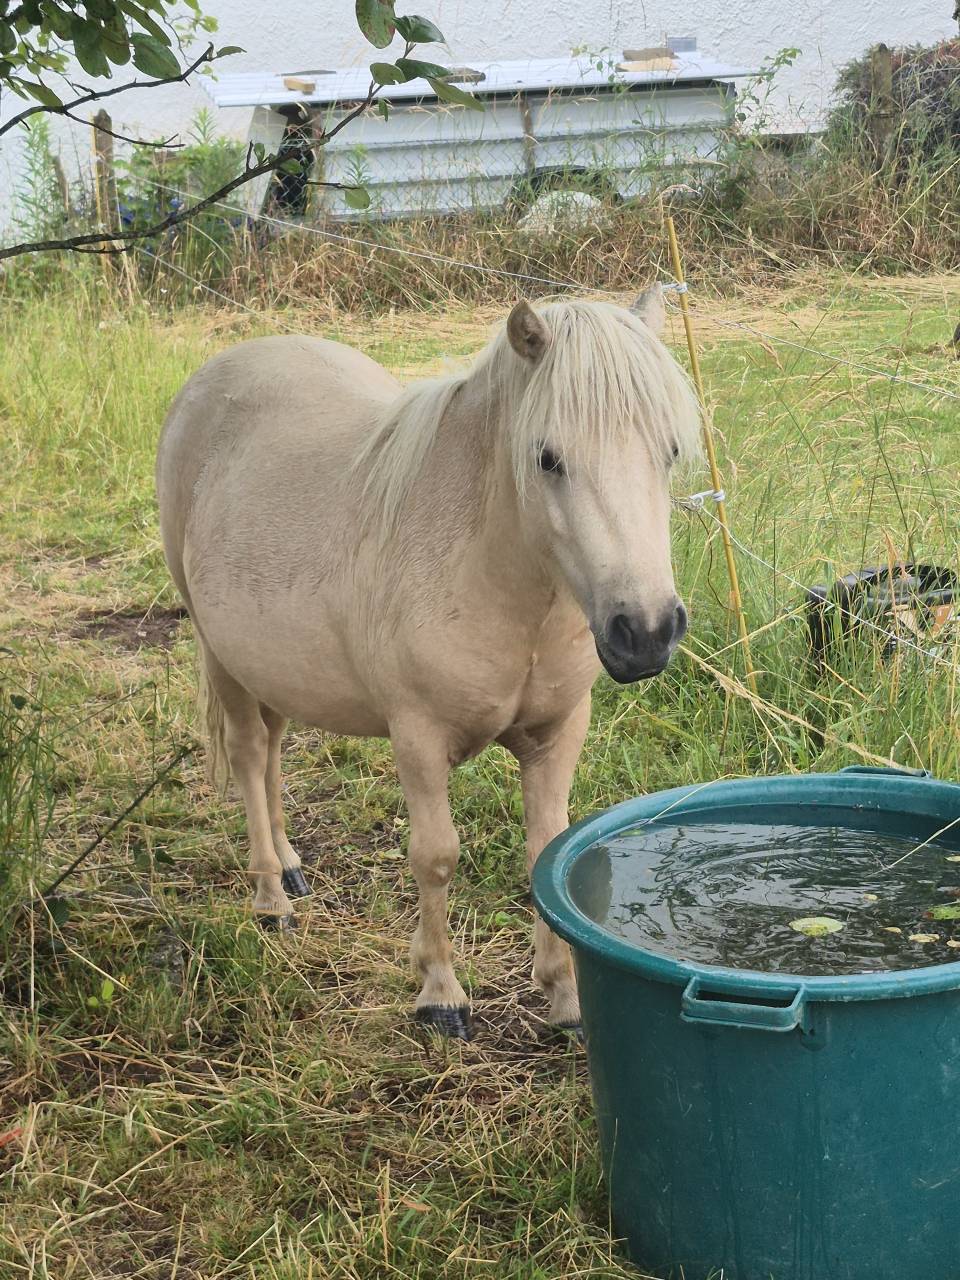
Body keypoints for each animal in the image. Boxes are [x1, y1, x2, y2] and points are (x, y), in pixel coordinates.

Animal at [156, 287, 700, 1039]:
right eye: (548, 458)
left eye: (669, 450)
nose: (645, 632)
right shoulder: (417, 737)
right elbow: (435, 857)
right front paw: (440, 992)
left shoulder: (558, 732)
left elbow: (547, 852)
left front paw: (563, 994)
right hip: (221, 655)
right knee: (245, 751)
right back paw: (270, 896)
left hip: (272, 665)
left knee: (272, 750)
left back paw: (291, 867)